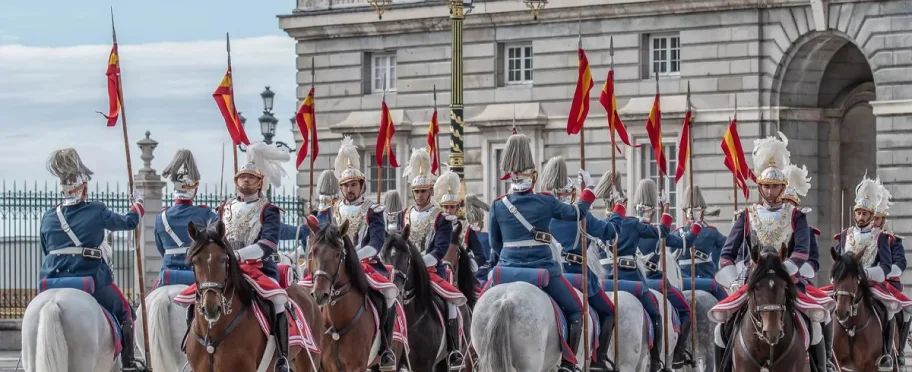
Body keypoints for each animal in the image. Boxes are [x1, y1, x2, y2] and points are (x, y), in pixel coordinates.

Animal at [304, 218, 404, 372]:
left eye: (337, 254)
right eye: (312, 253)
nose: (320, 294)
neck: (337, 322)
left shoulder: (357, 366)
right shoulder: (325, 366)